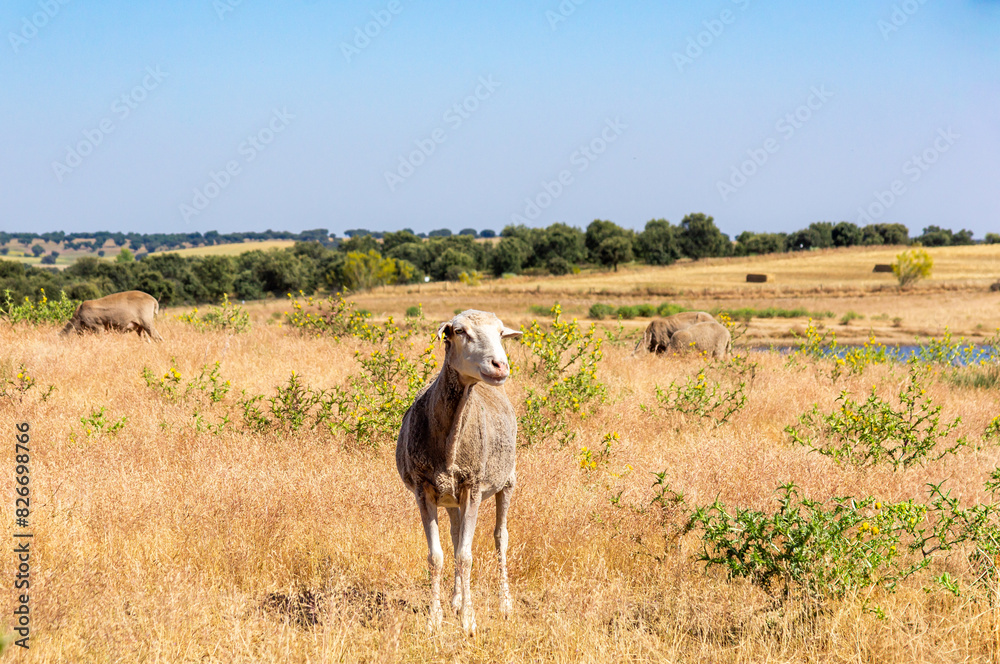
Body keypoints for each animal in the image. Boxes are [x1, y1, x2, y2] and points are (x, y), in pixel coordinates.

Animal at [396, 310, 522, 636]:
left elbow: (466, 556)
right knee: (454, 537)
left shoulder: (473, 486)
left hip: (508, 480)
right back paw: (454, 600)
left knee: (501, 537)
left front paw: (469, 621)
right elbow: (437, 557)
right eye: (460, 331)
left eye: (501, 333)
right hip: (450, 496)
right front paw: (434, 619)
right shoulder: (423, 489)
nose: (500, 365)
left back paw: (505, 604)